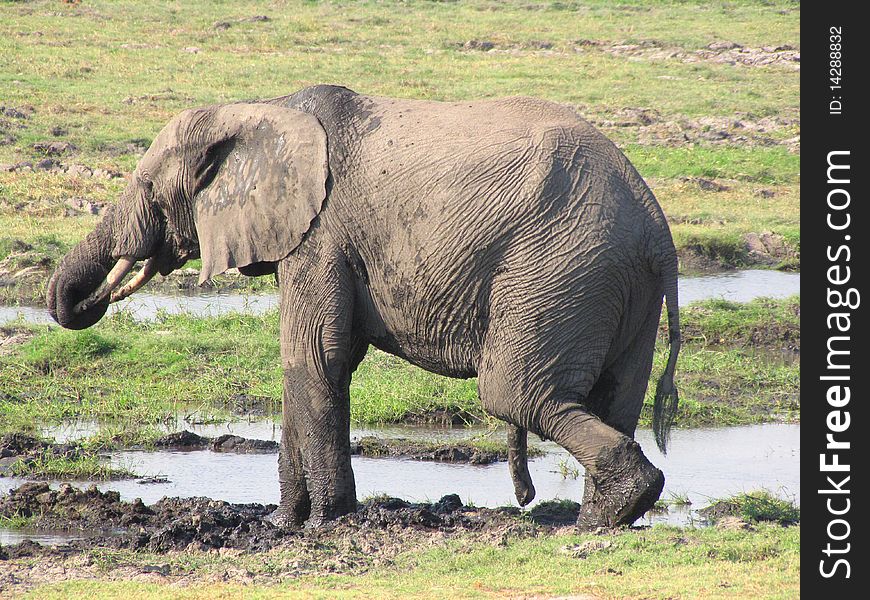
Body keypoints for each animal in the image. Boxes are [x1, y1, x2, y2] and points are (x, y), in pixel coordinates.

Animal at [47, 85, 680, 528]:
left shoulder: (319, 233)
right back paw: (603, 518)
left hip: (562, 268)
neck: (260, 111)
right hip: (614, 282)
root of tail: (656, 226)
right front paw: (284, 523)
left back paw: (607, 513)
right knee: (612, 397)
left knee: (515, 393)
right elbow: (320, 363)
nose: (73, 302)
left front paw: (324, 523)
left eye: (149, 187)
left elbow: (314, 359)